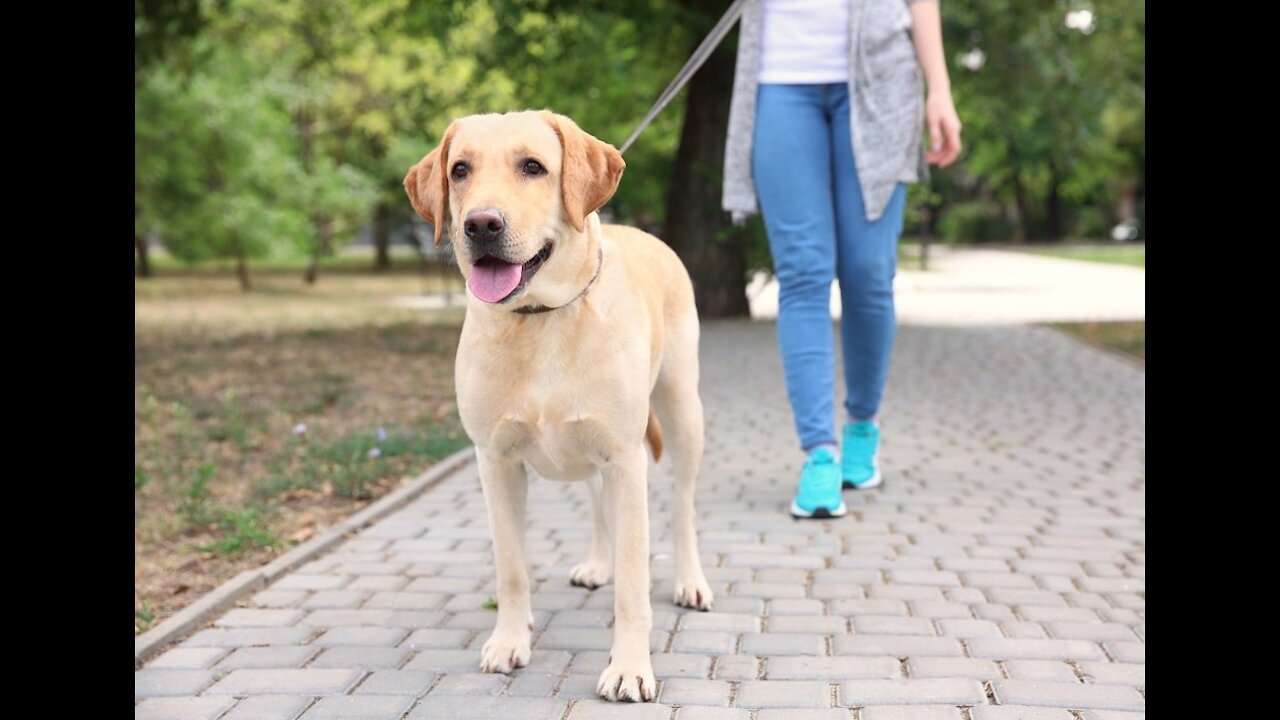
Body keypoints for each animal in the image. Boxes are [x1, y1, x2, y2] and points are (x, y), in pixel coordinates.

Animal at [404, 112, 716, 702]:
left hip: (682, 412)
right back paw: (597, 563)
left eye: (533, 167)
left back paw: (691, 581)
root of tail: (640, 230)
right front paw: (510, 640)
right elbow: (511, 568)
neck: (541, 318)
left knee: (685, 507)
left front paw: (630, 667)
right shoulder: (496, 462)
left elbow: (634, 585)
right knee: (597, 502)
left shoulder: (625, 458)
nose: (481, 225)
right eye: (460, 170)